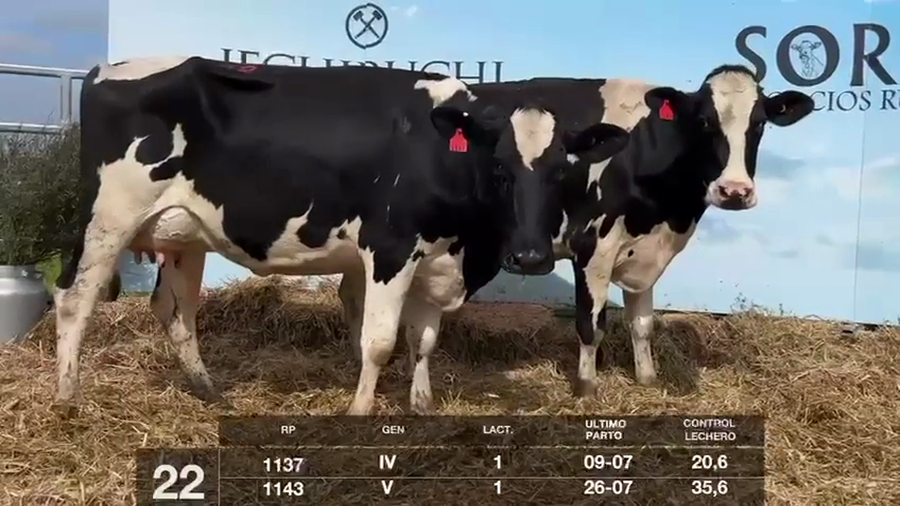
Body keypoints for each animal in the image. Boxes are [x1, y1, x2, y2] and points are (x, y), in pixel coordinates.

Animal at [52, 56, 632, 416]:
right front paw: (359, 409)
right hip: (109, 216)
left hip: (184, 234)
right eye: (500, 168)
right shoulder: (391, 249)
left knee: (175, 310)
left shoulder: (437, 258)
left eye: (562, 171)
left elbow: (423, 340)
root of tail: (109, 68)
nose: (531, 257)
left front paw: (421, 405)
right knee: (74, 297)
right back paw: (67, 397)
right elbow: (378, 342)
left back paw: (208, 391)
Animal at [467, 64, 814, 396]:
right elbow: (590, 324)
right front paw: (586, 387)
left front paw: (647, 378)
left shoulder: (646, 252)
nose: (735, 191)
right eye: (704, 121)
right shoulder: (592, 246)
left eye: (759, 123)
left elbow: (642, 323)